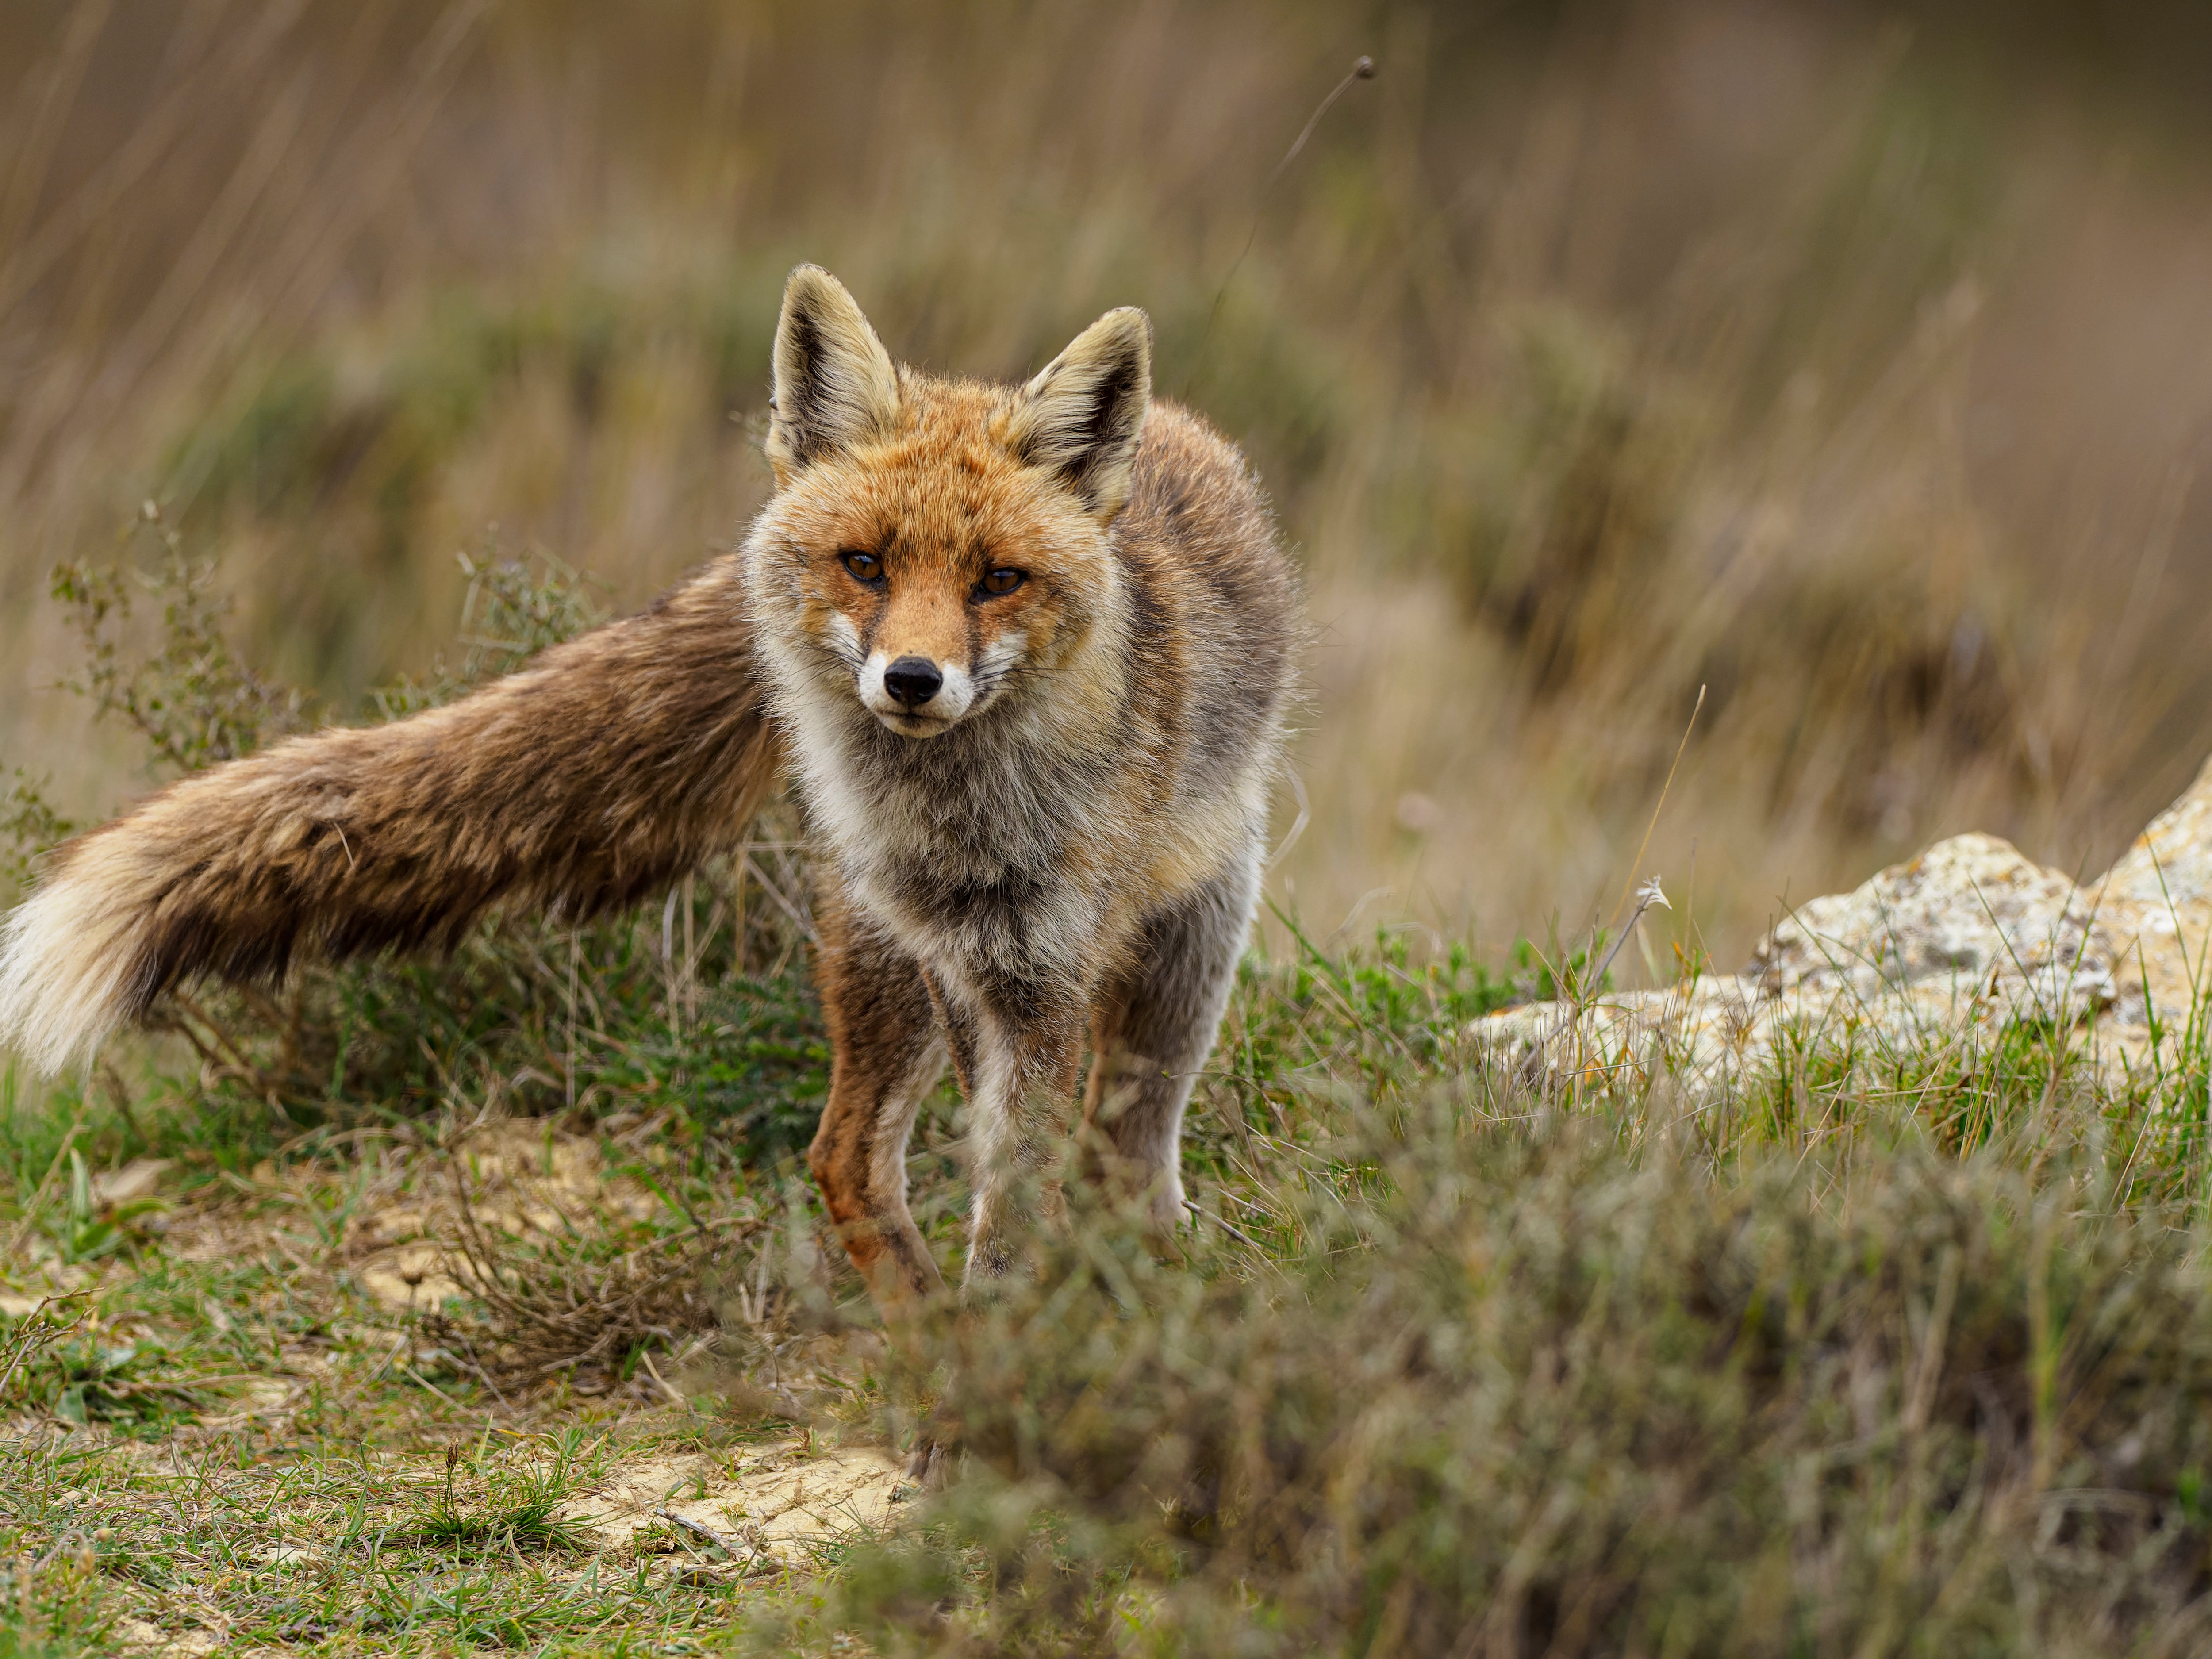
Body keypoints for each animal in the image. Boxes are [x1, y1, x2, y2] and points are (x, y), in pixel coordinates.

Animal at [0, 273, 1292, 1327]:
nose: (913, 680)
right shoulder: (970, 968)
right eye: (867, 564)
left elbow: (1025, 1200)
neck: (970, 827)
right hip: (899, 958)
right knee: (849, 1157)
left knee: (1107, 1152)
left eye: (998, 581)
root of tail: (1177, 428)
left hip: (1186, 940)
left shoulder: (1040, 975)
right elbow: (1007, 1206)